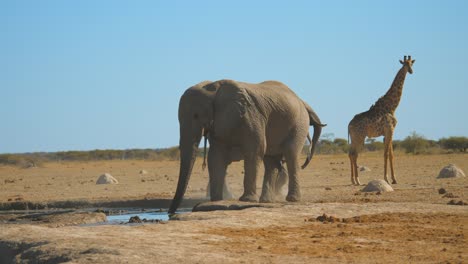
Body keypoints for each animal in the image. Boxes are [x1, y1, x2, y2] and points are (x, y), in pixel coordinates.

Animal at [168, 79, 326, 213]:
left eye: (196, 115)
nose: (170, 213)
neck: (213, 88)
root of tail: (301, 101)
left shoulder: (251, 115)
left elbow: (255, 151)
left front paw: (246, 200)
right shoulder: (220, 123)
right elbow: (216, 157)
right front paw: (217, 200)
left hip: (298, 124)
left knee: (290, 155)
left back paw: (292, 199)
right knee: (271, 161)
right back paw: (266, 201)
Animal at [350, 55, 414, 186]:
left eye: (411, 63)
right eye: (405, 64)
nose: (411, 71)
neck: (391, 107)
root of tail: (349, 125)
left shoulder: (388, 132)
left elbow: (391, 154)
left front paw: (394, 179)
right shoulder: (390, 129)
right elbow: (386, 154)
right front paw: (387, 179)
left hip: (355, 138)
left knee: (351, 154)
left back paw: (354, 180)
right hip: (360, 137)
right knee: (354, 154)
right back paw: (357, 180)